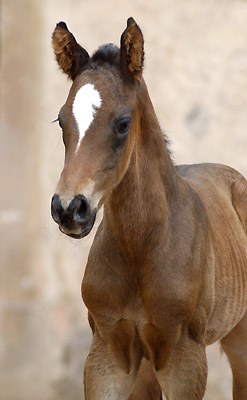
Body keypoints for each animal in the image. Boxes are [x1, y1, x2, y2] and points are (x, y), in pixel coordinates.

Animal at [50, 17, 247, 398]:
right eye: (61, 121)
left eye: (123, 123)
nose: (69, 208)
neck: (142, 246)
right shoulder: (108, 351)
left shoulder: (185, 358)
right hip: (146, 367)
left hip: (239, 338)